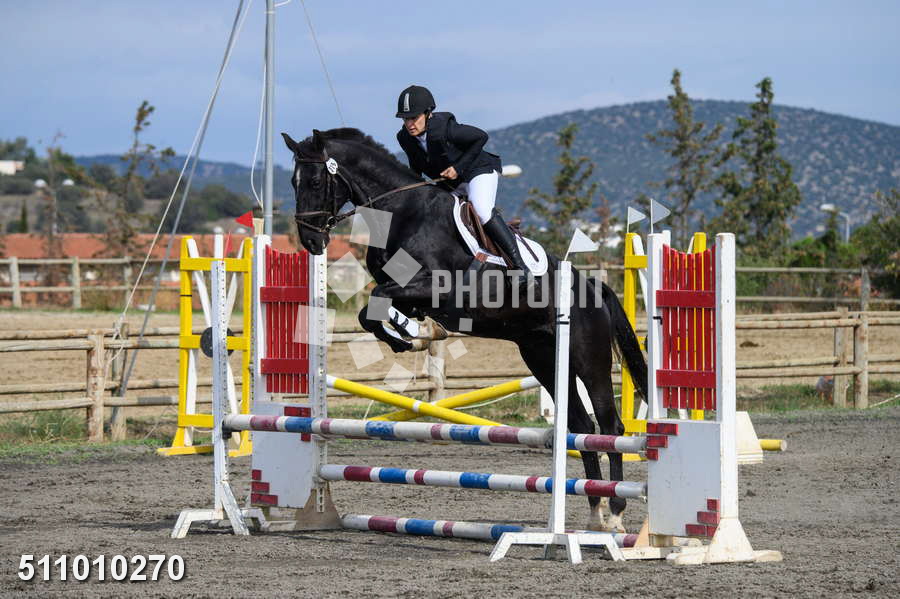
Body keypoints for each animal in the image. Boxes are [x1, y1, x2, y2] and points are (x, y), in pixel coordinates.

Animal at [282, 128, 648, 532]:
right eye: (293, 182)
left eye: (316, 181)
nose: (312, 242)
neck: (403, 213)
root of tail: (594, 287)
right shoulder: (409, 294)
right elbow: (370, 312)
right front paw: (407, 336)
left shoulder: (436, 287)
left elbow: (378, 300)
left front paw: (411, 336)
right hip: (544, 359)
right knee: (580, 426)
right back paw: (595, 511)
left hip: (587, 361)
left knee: (609, 427)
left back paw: (615, 514)